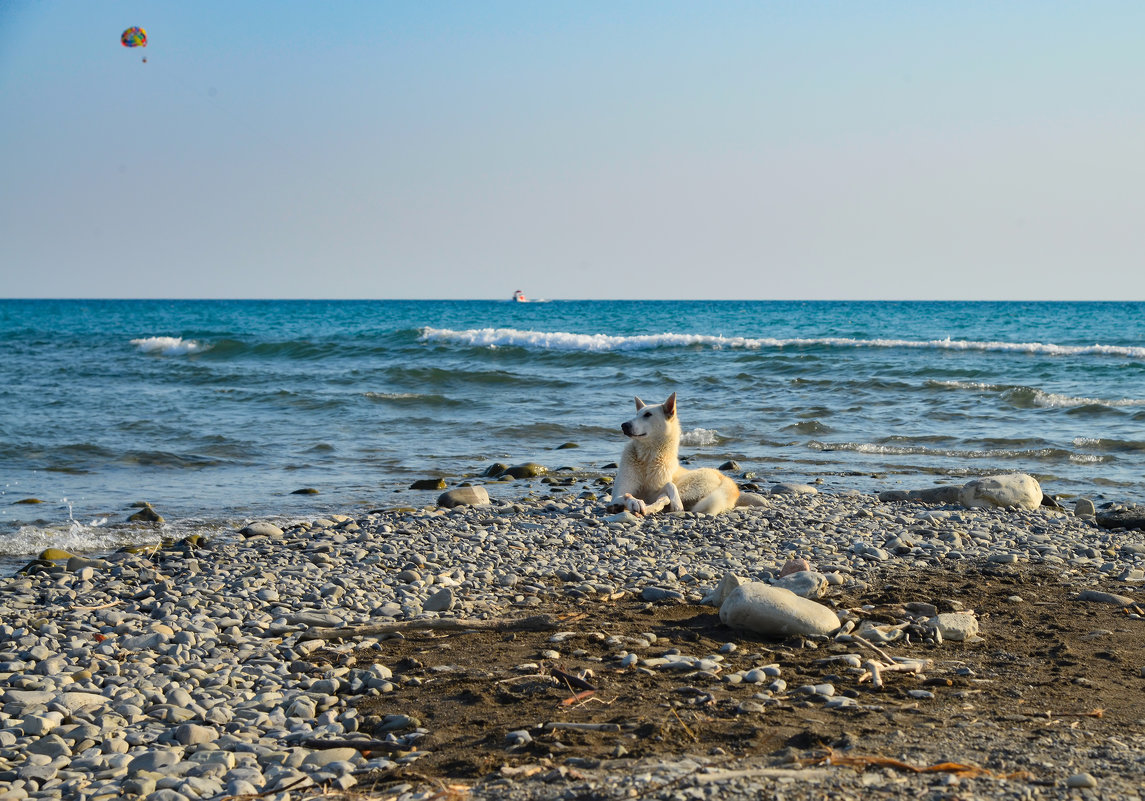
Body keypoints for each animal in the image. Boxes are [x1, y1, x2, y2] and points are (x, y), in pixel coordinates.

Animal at [609, 391, 741, 517]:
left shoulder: (655, 491)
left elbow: (669, 485)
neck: (648, 457)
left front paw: (673, 502)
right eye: (636, 415)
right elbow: (625, 495)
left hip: (689, 488)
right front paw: (634, 501)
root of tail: (723, 477)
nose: (624, 425)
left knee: (665, 498)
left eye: (647, 415)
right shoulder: (618, 493)